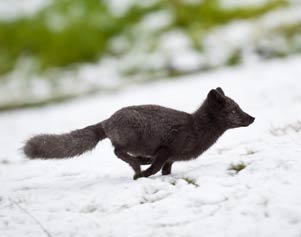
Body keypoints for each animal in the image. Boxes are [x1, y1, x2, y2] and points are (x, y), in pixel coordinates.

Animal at [23, 87, 253, 180]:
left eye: (239, 107)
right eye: (234, 111)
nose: (252, 118)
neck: (195, 128)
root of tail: (107, 120)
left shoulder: (171, 159)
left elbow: (165, 171)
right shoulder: (166, 149)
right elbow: (155, 168)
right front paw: (141, 176)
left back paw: (139, 162)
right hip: (132, 139)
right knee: (117, 152)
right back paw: (136, 166)